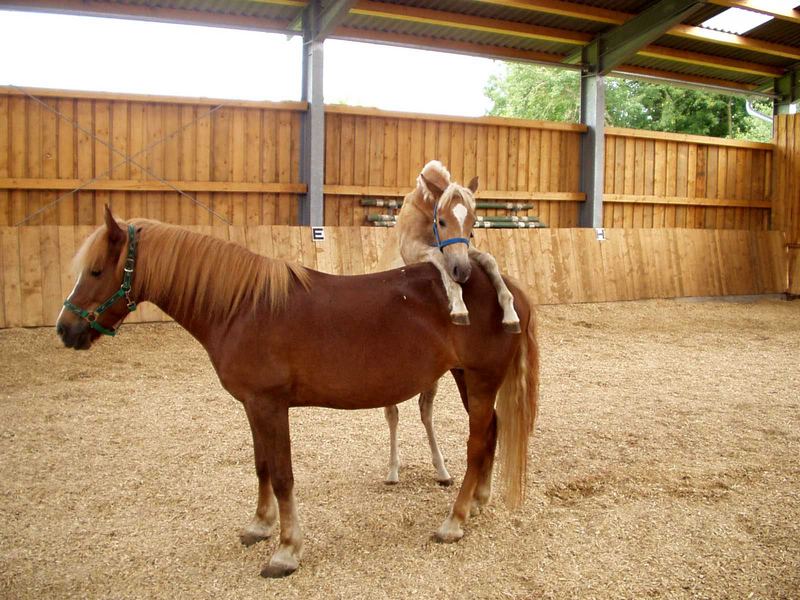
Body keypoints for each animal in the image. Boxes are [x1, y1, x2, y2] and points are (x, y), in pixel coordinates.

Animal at [56, 209, 540, 580]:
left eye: (96, 271)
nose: (65, 329)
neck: (243, 307)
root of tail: (503, 284)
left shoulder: (270, 406)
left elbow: (283, 475)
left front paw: (287, 551)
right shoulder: (253, 406)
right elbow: (262, 466)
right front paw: (259, 526)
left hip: (480, 379)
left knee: (477, 444)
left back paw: (453, 522)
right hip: (464, 378)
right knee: (490, 435)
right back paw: (477, 502)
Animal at [378, 161, 520, 488]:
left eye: (473, 222)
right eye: (441, 221)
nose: (463, 273)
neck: (425, 208)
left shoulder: (466, 252)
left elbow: (489, 260)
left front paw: (510, 312)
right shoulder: (417, 250)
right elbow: (438, 257)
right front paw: (459, 307)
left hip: (431, 377)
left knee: (424, 411)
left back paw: (441, 470)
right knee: (393, 413)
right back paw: (393, 470)